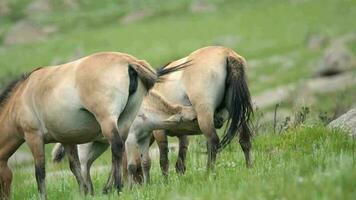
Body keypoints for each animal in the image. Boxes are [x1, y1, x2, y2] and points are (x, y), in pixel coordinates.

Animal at [0, 52, 189, 200]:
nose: (6, 197)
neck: (20, 97)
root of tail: (129, 62)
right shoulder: (67, 138)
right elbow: (75, 167)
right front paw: (83, 192)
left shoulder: (33, 137)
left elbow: (40, 172)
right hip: (124, 122)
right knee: (115, 154)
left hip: (108, 121)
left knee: (117, 147)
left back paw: (117, 188)